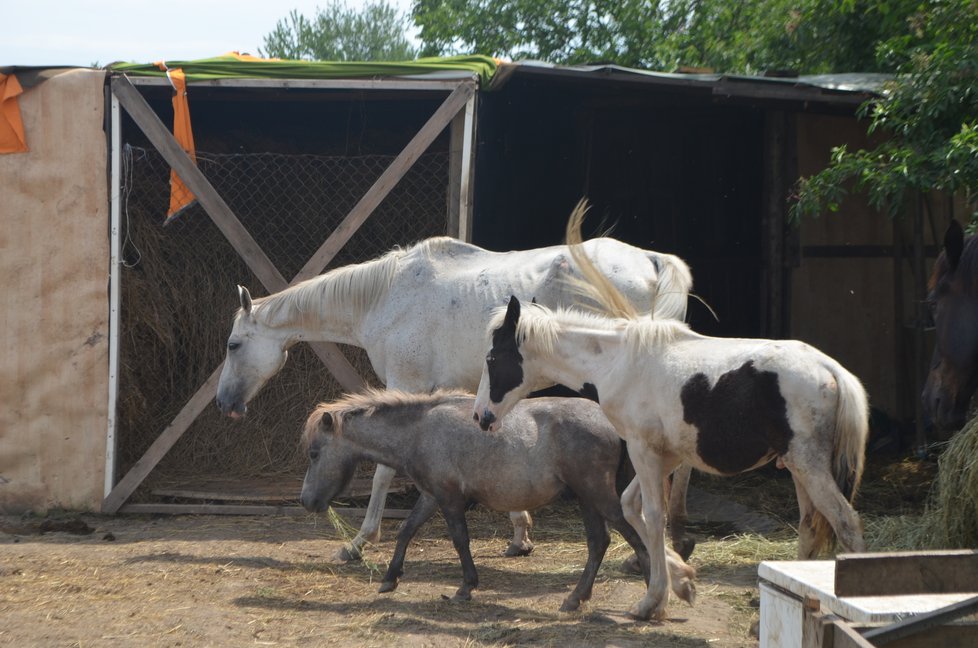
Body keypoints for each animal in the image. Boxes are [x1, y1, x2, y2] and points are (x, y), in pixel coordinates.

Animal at [217, 233, 692, 560]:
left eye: (233, 345)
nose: (225, 404)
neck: (386, 297)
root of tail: (652, 260)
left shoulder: (405, 384)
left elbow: (383, 472)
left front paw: (360, 541)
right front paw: (520, 534)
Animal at [472, 219, 868, 624]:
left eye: (492, 358)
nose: (481, 416)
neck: (619, 362)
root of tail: (831, 369)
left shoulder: (643, 450)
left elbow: (652, 513)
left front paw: (653, 601)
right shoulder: (669, 455)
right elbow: (633, 509)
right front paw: (682, 582)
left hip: (808, 465)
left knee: (846, 523)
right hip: (797, 467)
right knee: (809, 527)